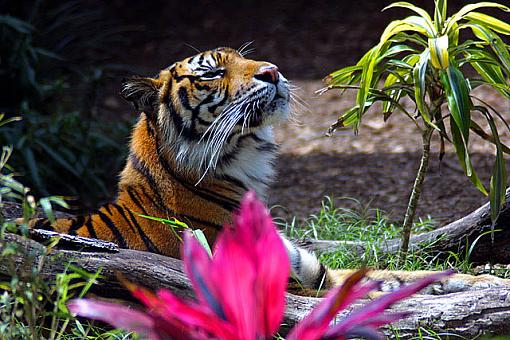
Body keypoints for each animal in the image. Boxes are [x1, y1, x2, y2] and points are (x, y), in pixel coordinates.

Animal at [26, 47, 510, 292]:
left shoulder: (318, 272)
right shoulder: (297, 289)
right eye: (212, 72)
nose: (273, 71)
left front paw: (479, 281)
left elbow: (400, 276)